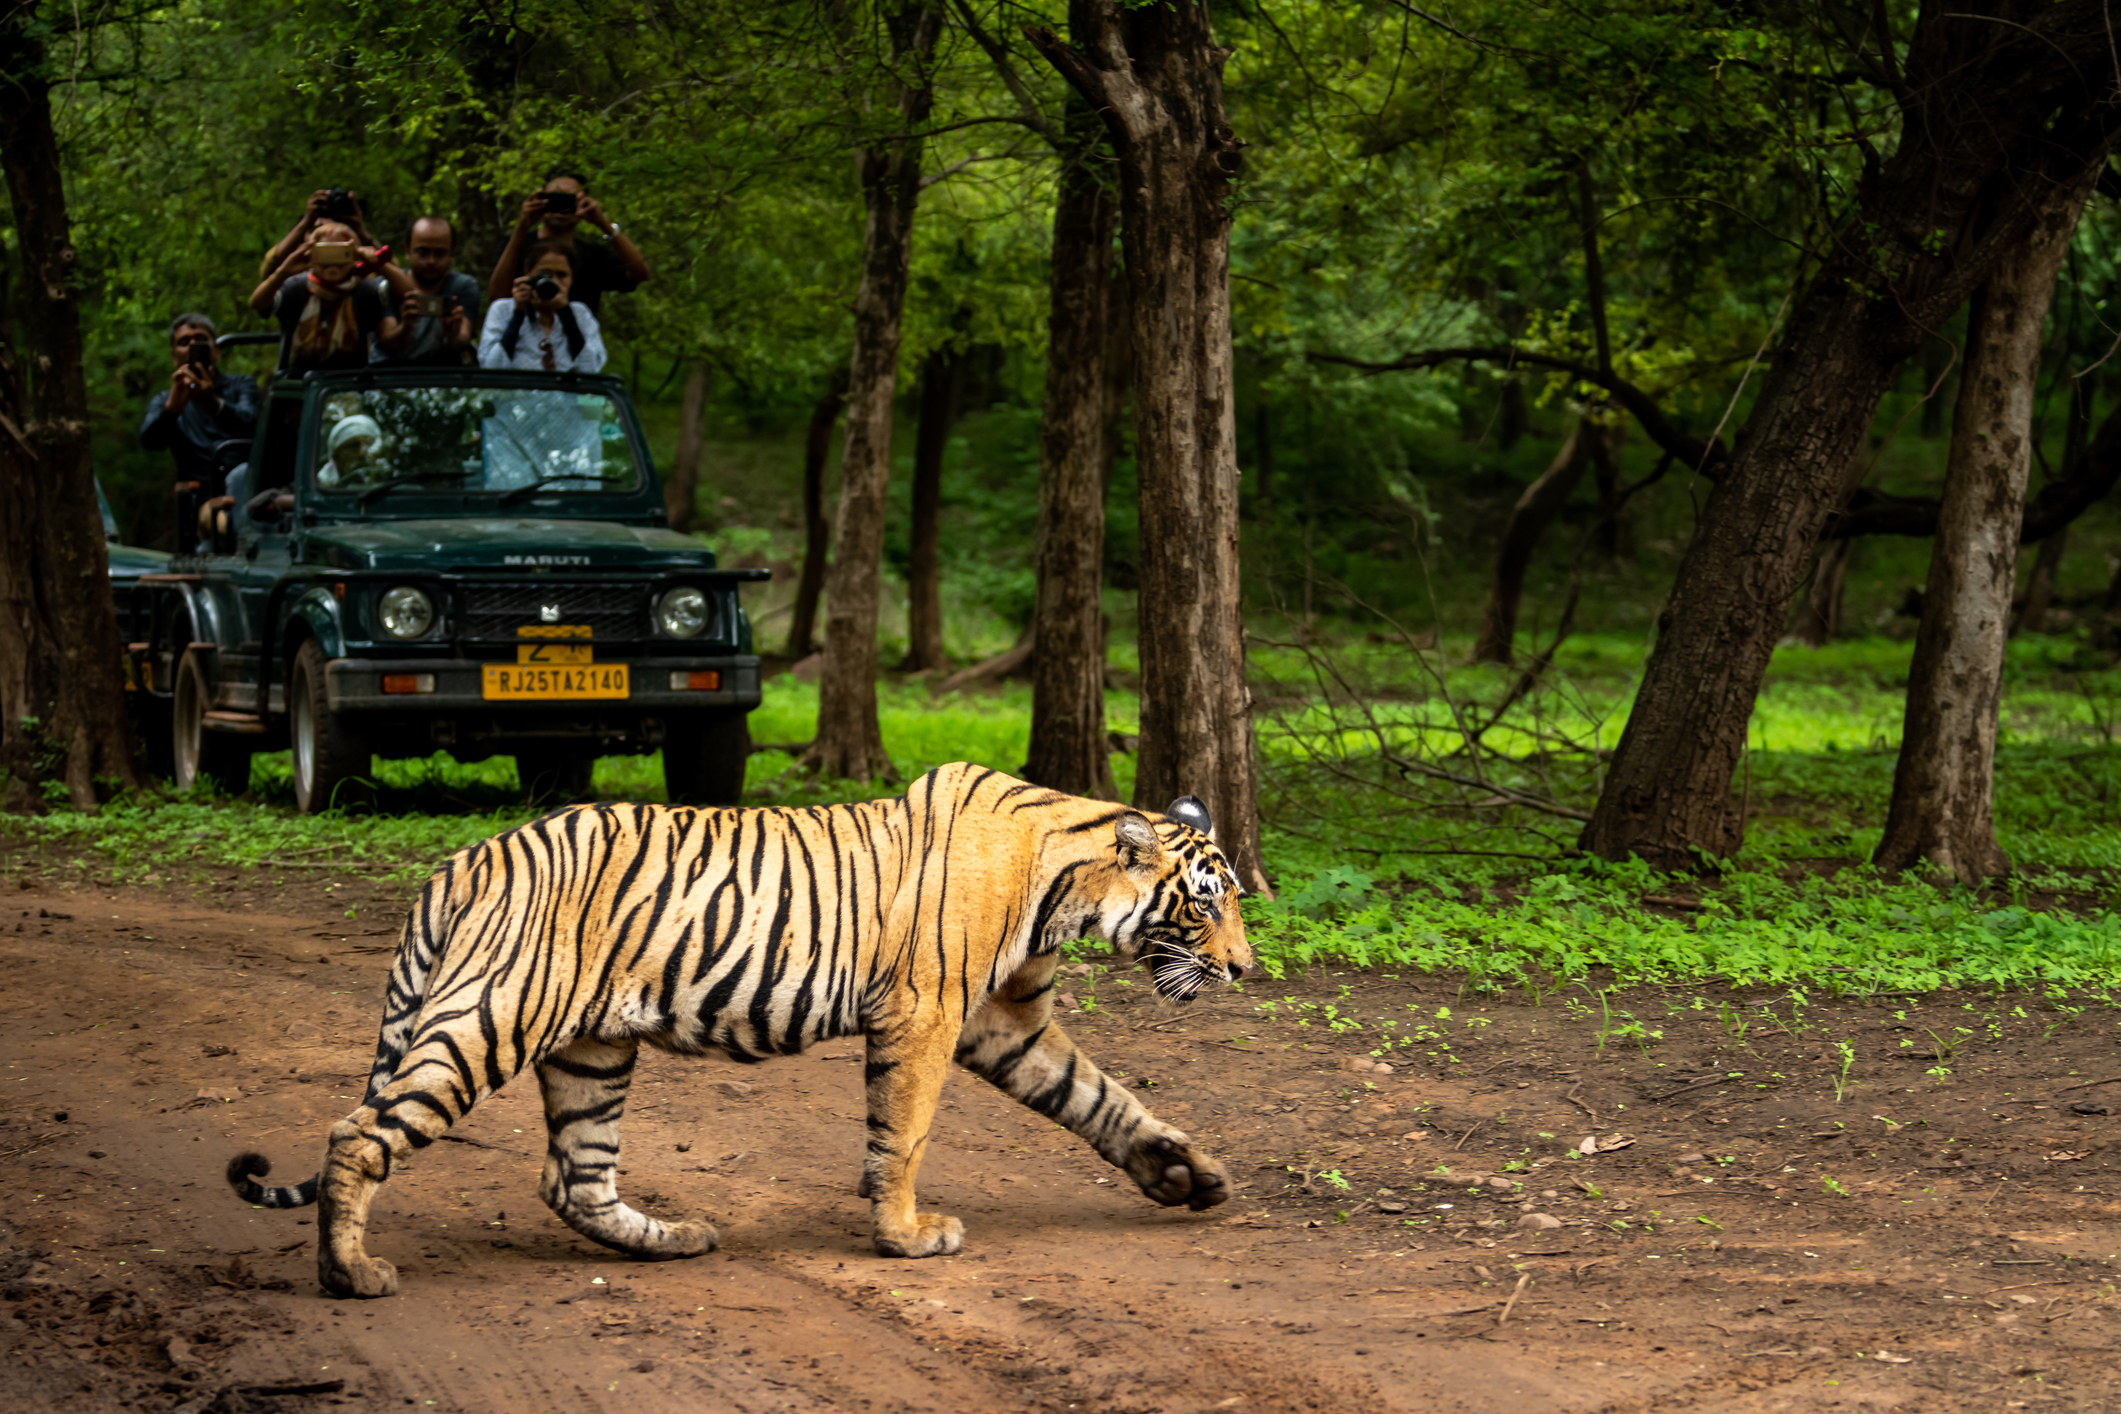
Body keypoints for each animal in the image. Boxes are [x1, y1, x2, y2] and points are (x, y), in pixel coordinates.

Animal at [225, 762, 1253, 1299]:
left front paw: (1186, 1175)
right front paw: (905, 1237)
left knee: (573, 1178)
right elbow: (906, 1134)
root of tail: (461, 860)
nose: (1244, 968)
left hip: (592, 1049)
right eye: (1205, 904)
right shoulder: (926, 1015)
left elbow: (1102, 1099)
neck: (1067, 889)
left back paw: (672, 1240)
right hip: (491, 1017)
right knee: (358, 1133)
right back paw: (350, 1273)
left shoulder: (1004, 1023)